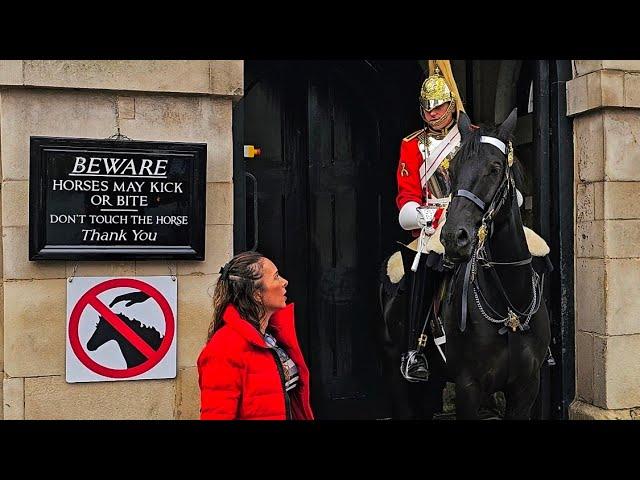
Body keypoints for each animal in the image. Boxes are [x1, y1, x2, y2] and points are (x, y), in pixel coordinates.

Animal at [440, 109, 552, 420]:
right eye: (452, 169)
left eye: (495, 167)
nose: (453, 237)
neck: (510, 304)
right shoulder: (468, 386)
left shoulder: (526, 388)